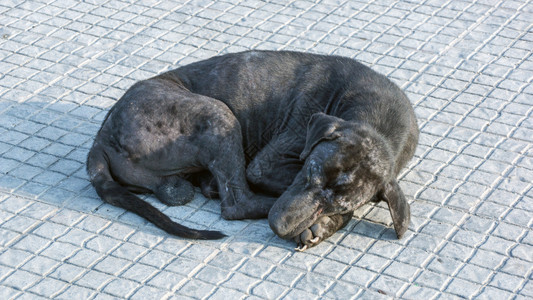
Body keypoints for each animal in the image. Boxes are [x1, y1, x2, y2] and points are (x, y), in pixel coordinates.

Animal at [85, 51, 418, 248]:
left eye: (336, 203)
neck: (378, 119)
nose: (279, 226)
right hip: (218, 115)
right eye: (309, 172)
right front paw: (320, 225)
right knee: (237, 204)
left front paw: (324, 223)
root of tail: (101, 137)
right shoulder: (266, 166)